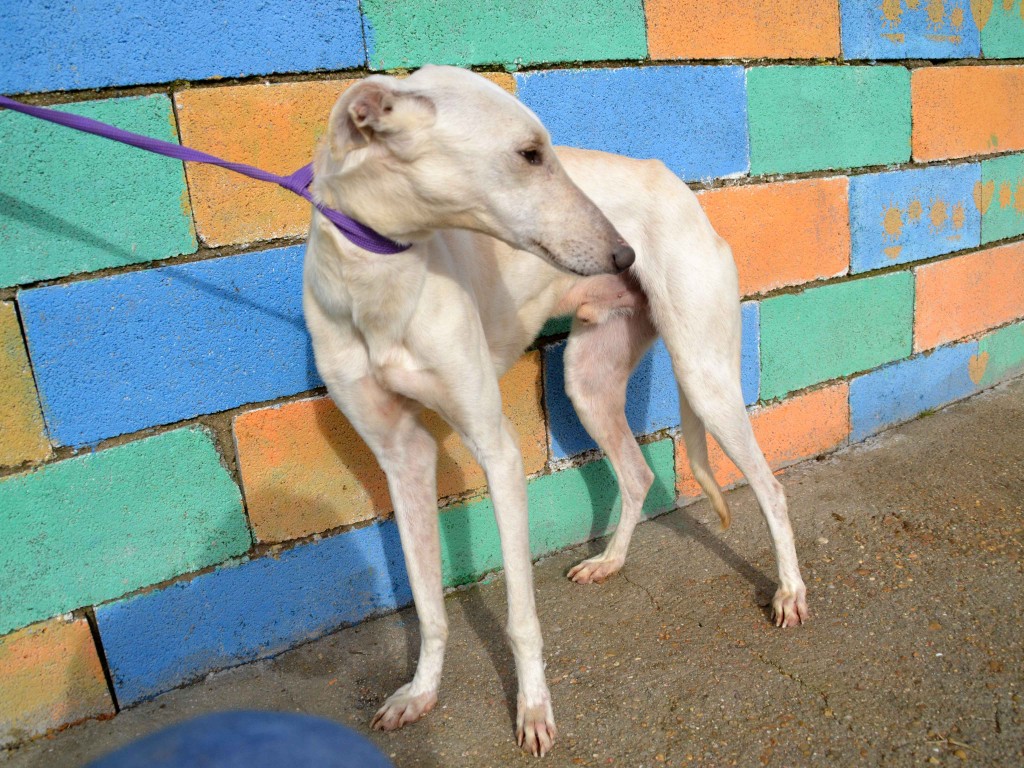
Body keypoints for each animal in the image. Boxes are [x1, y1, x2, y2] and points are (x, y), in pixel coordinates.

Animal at [303, 64, 806, 757]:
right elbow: (429, 607)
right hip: (585, 382)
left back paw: (789, 593)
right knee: (637, 473)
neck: (376, 283)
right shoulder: (402, 457)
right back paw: (610, 561)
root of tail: (680, 188)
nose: (625, 254)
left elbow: (520, 617)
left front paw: (535, 711)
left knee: (770, 488)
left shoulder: (498, 449)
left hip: (705, 376)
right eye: (529, 154)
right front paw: (420, 693)